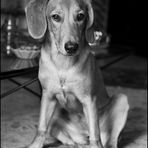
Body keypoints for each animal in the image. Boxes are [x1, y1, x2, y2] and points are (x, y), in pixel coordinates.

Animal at [24, 0, 129, 147]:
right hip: (55, 111)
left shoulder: (89, 100)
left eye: (80, 16)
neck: (63, 65)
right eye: (55, 17)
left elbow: (95, 135)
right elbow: (41, 128)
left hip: (121, 99)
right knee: (60, 134)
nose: (71, 47)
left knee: (107, 140)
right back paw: (72, 143)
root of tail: (82, 135)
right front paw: (35, 144)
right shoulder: (47, 96)